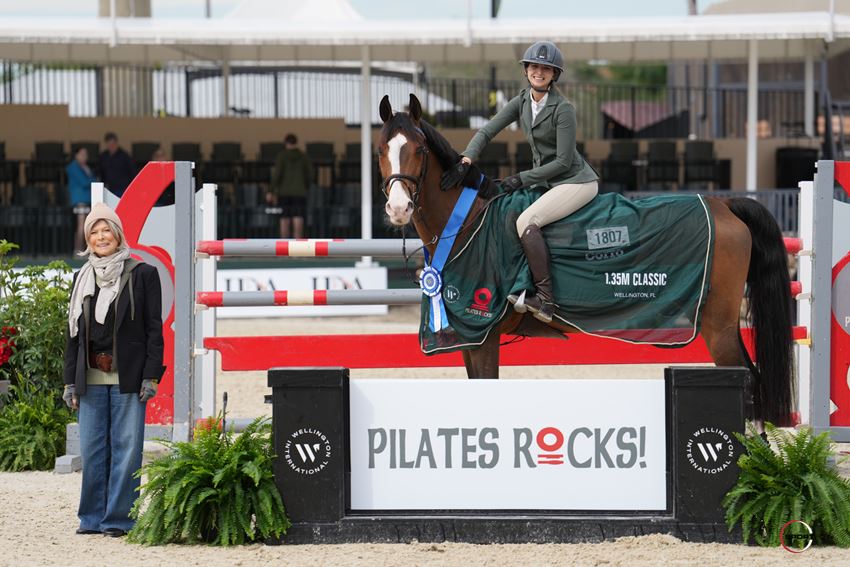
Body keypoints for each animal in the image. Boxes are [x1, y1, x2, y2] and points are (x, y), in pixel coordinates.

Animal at [374, 93, 792, 426]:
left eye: (419, 150)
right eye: (381, 150)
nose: (398, 208)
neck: (466, 220)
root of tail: (724, 205)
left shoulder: (483, 334)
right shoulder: (467, 339)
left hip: (717, 327)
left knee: (748, 386)